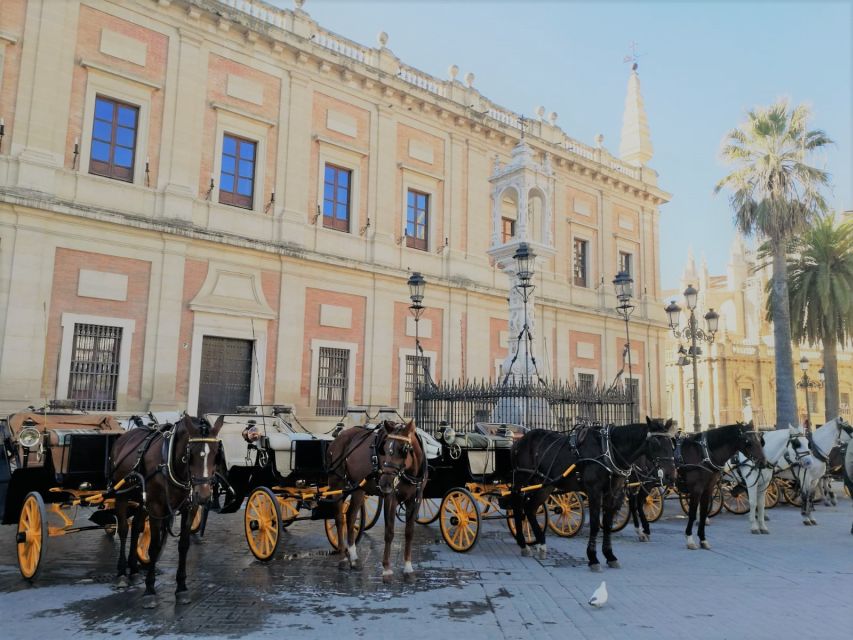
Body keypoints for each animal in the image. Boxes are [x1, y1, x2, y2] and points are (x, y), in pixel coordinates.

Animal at [110, 412, 223, 608]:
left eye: (216, 453)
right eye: (191, 454)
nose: (203, 495)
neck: (170, 463)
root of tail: (124, 437)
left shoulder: (189, 507)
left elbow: (184, 545)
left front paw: (182, 588)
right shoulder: (156, 506)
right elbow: (154, 547)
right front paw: (150, 590)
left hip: (141, 499)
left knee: (137, 527)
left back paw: (134, 570)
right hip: (122, 495)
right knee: (124, 529)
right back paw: (122, 573)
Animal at [326, 418, 426, 584]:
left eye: (403, 449)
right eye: (384, 448)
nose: (385, 483)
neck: (409, 472)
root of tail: (339, 437)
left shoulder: (415, 500)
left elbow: (409, 532)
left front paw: (408, 568)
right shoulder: (390, 498)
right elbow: (389, 532)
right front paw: (387, 569)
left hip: (358, 488)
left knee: (351, 516)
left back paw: (353, 558)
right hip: (337, 485)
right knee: (339, 518)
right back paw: (343, 558)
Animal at [510, 418, 676, 572]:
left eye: (671, 443)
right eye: (656, 442)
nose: (671, 475)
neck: (608, 450)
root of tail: (520, 441)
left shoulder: (612, 493)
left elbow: (607, 524)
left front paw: (610, 555)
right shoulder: (594, 492)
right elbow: (595, 525)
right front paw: (593, 558)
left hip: (545, 485)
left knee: (530, 508)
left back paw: (541, 544)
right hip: (522, 480)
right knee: (518, 506)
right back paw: (523, 544)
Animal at [676, 424, 768, 552]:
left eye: (761, 441)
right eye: (748, 442)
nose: (763, 462)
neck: (703, 453)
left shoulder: (707, 489)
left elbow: (703, 513)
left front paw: (703, 539)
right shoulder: (696, 490)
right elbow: (692, 514)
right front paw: (690, 539)